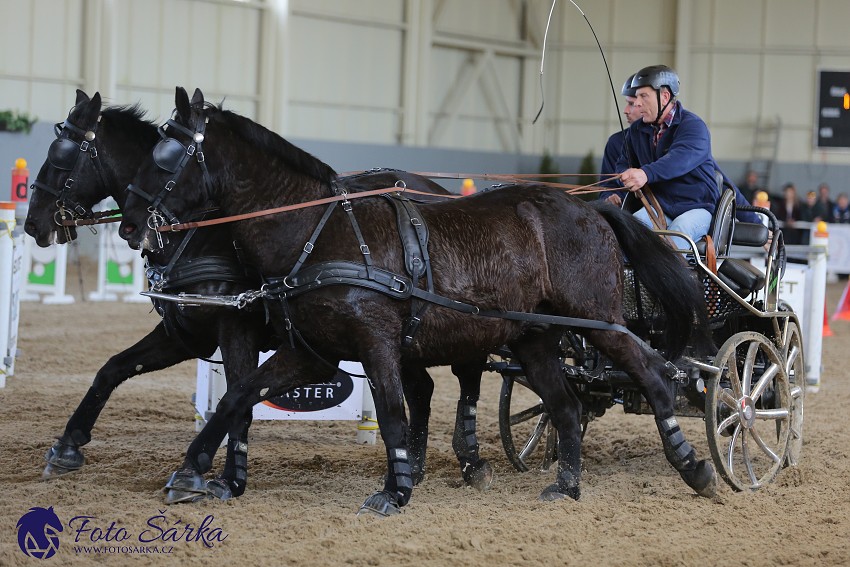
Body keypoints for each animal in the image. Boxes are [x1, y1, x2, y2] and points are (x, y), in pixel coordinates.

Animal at [23, 89, 490, 502]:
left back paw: (472, 462)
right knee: (422, 388)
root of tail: (439, 191)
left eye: (62, 154)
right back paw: (416, 465)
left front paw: (215, 475)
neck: (202, 232)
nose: (32, 224)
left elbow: (238, 400)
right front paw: (67, 446)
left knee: (467, 375)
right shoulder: (184, 333)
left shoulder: (236, 330)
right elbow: (113, 369)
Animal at [119, 87, 716, 516]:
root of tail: (591, 208)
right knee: (566, 404)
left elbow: (391, 411)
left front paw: (396, 490)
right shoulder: (312, 351)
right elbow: (237, 395)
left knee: (653, 375)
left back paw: (694, 466)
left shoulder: (377, 342)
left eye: (167, 156)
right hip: (535, 337)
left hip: (597, 322)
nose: (130, 225)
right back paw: (566, 485)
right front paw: (190, 471)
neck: (320, 230)